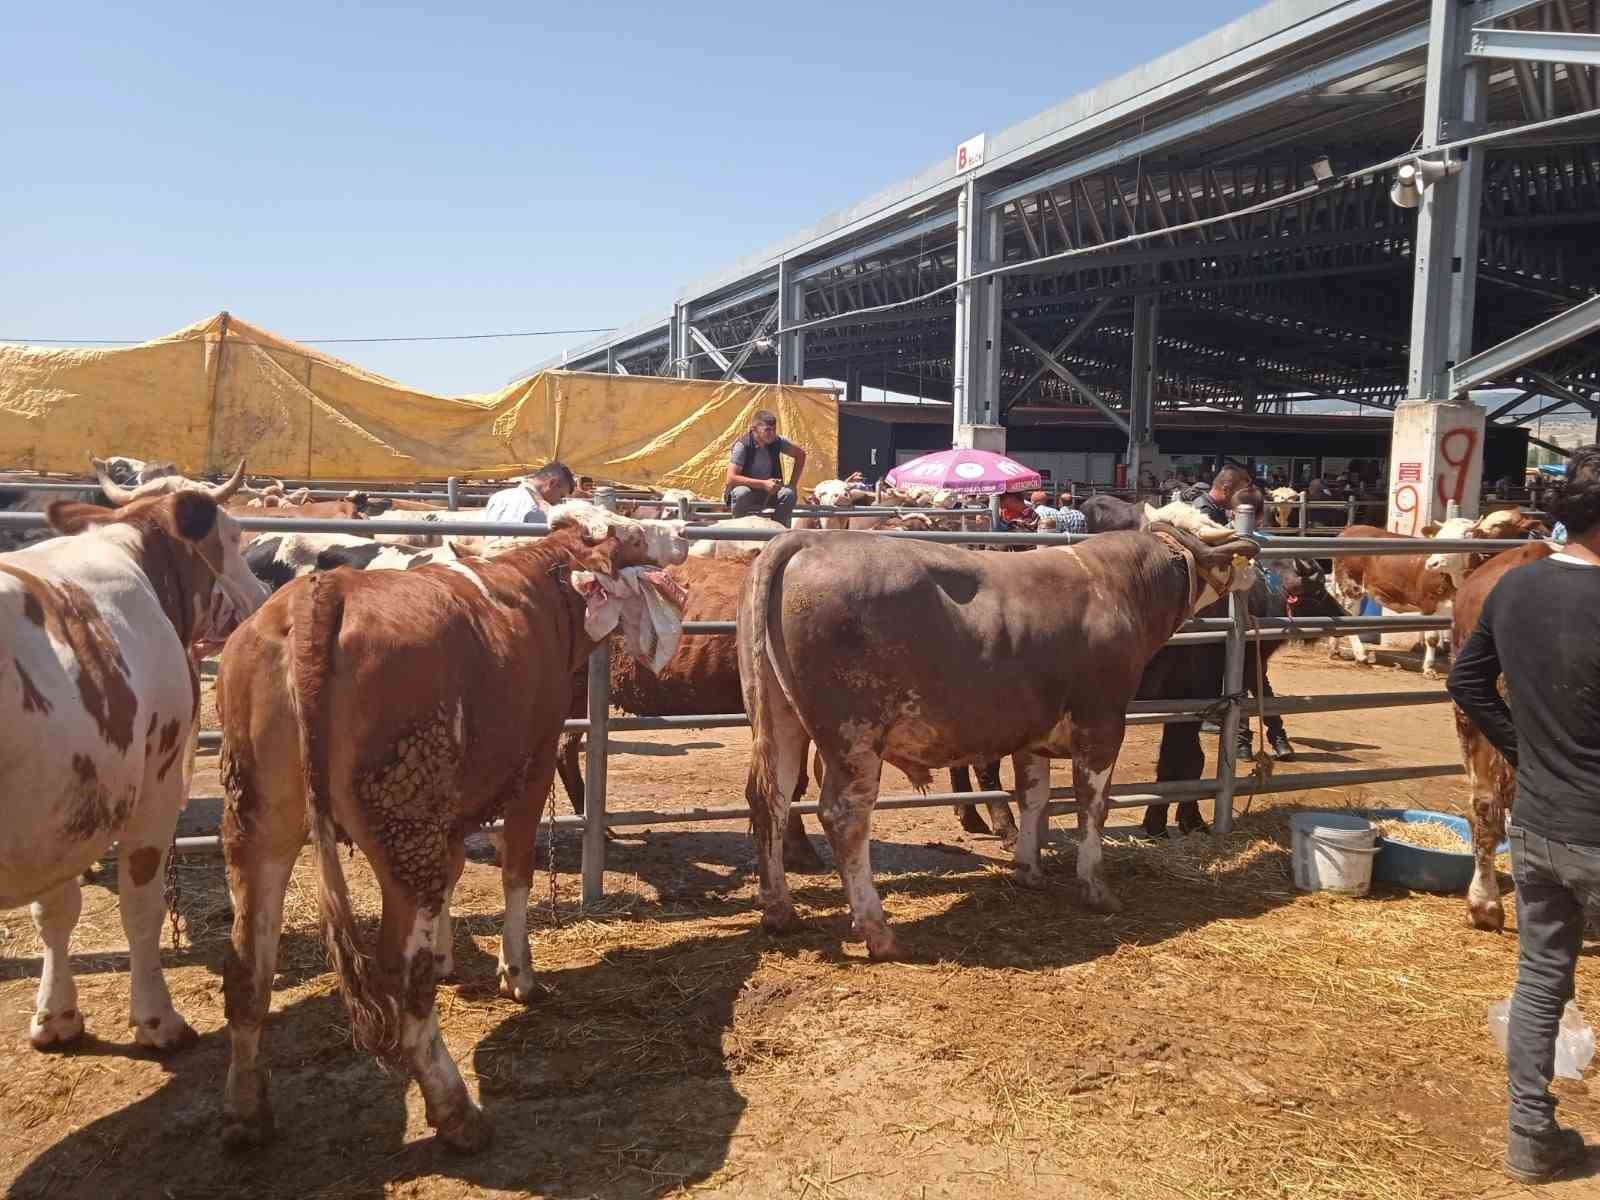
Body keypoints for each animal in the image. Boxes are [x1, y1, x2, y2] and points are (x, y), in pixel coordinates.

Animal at [0, 467, 265, 1049]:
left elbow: (55, 910)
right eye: (236, 536)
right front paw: (157, 1019)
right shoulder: (156, 783)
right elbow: (140, 906)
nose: (261, 594)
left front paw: (56, 1015)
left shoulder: (64, 806)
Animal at [739, 505, 1260, 960]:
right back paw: (878, 932)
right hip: (854, 737)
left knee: (771, 800)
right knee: (844, 817)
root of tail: (805, 539)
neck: (1117, 586)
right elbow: (1093, 806)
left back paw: (780, 912)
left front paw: (1029, 869)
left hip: (779, 720)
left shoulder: (1033, 733)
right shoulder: (1102, 720)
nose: (1257, 568)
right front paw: (1096, 888)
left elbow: (1033, 795)